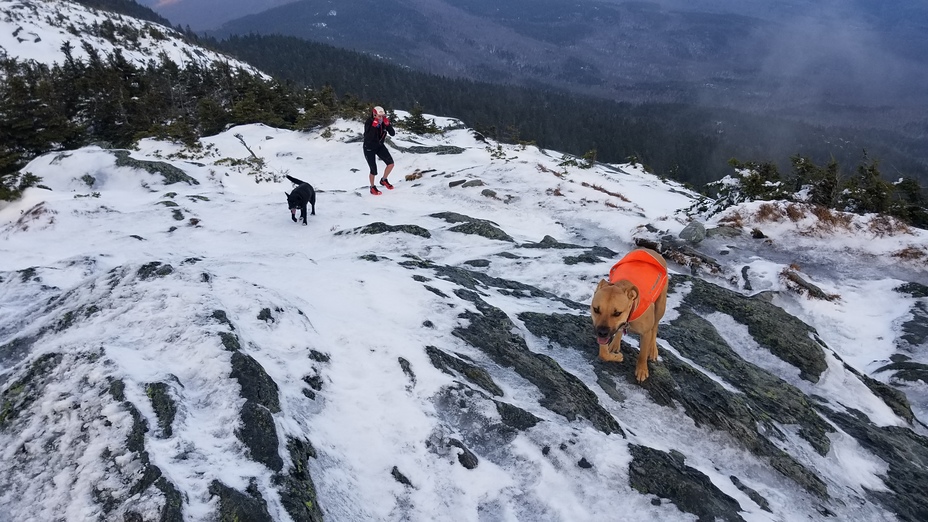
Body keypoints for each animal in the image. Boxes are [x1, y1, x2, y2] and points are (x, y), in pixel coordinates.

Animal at [592, 246, 672, 380]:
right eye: (596, 309)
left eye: (617, 313)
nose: (602, 332)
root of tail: (652, 250)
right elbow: (603, 354)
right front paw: (616, 357)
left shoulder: (645, 333)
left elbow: (642, 353)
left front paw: (642, 369)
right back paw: (615, 344)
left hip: (661, 305)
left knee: (655, 326)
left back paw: (653, 349)